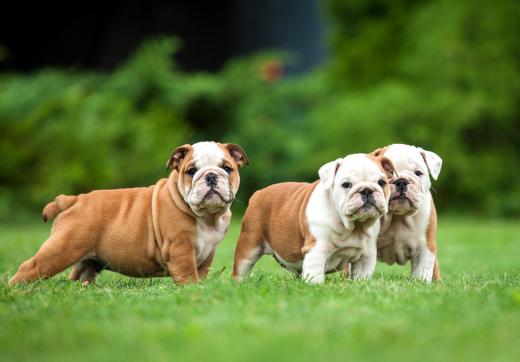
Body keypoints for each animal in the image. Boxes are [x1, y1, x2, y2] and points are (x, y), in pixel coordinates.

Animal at [7, 141, 248, 286]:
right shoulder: (181, 250)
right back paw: (15, 292)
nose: (211, 176)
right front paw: (193, 290)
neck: (208, 217)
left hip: (87, 260)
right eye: (191, 171)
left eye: (227, 169)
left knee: (78, 277)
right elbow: (188, 276)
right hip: (61, 249)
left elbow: (201, 273)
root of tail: (72, 199)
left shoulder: (207, 255)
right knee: (29, 268)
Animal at [232, 154, 394, 284]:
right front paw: (316, 286)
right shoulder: (317, 250)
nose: (366, 190)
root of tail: (257, 193)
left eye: (382, 182)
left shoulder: (366, 257)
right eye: (346, 184)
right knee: (242, 267)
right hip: (250, 244)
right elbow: (315, 274)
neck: (354, 226)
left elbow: (362, 276)